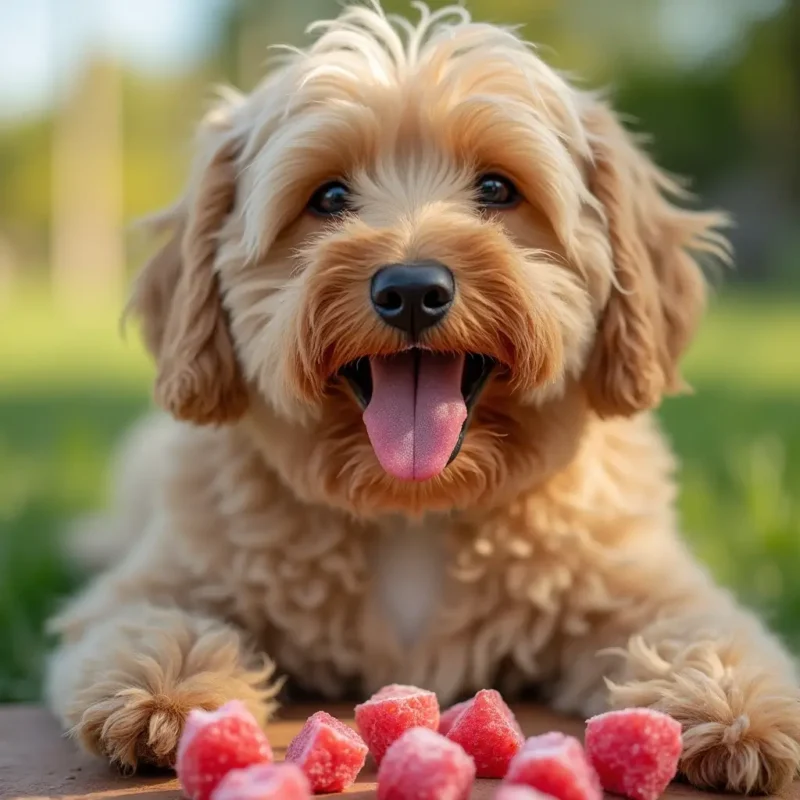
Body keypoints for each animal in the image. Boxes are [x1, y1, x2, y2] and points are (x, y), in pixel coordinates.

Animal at [47, 3, 800, 792]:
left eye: (498, 189)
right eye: (329, 197)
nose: (411, 289)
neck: (413, 506)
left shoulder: (640, 582)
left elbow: (704, 630)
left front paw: (732, 703)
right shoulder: (160, 578)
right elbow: (147, 622)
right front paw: (168, 688)